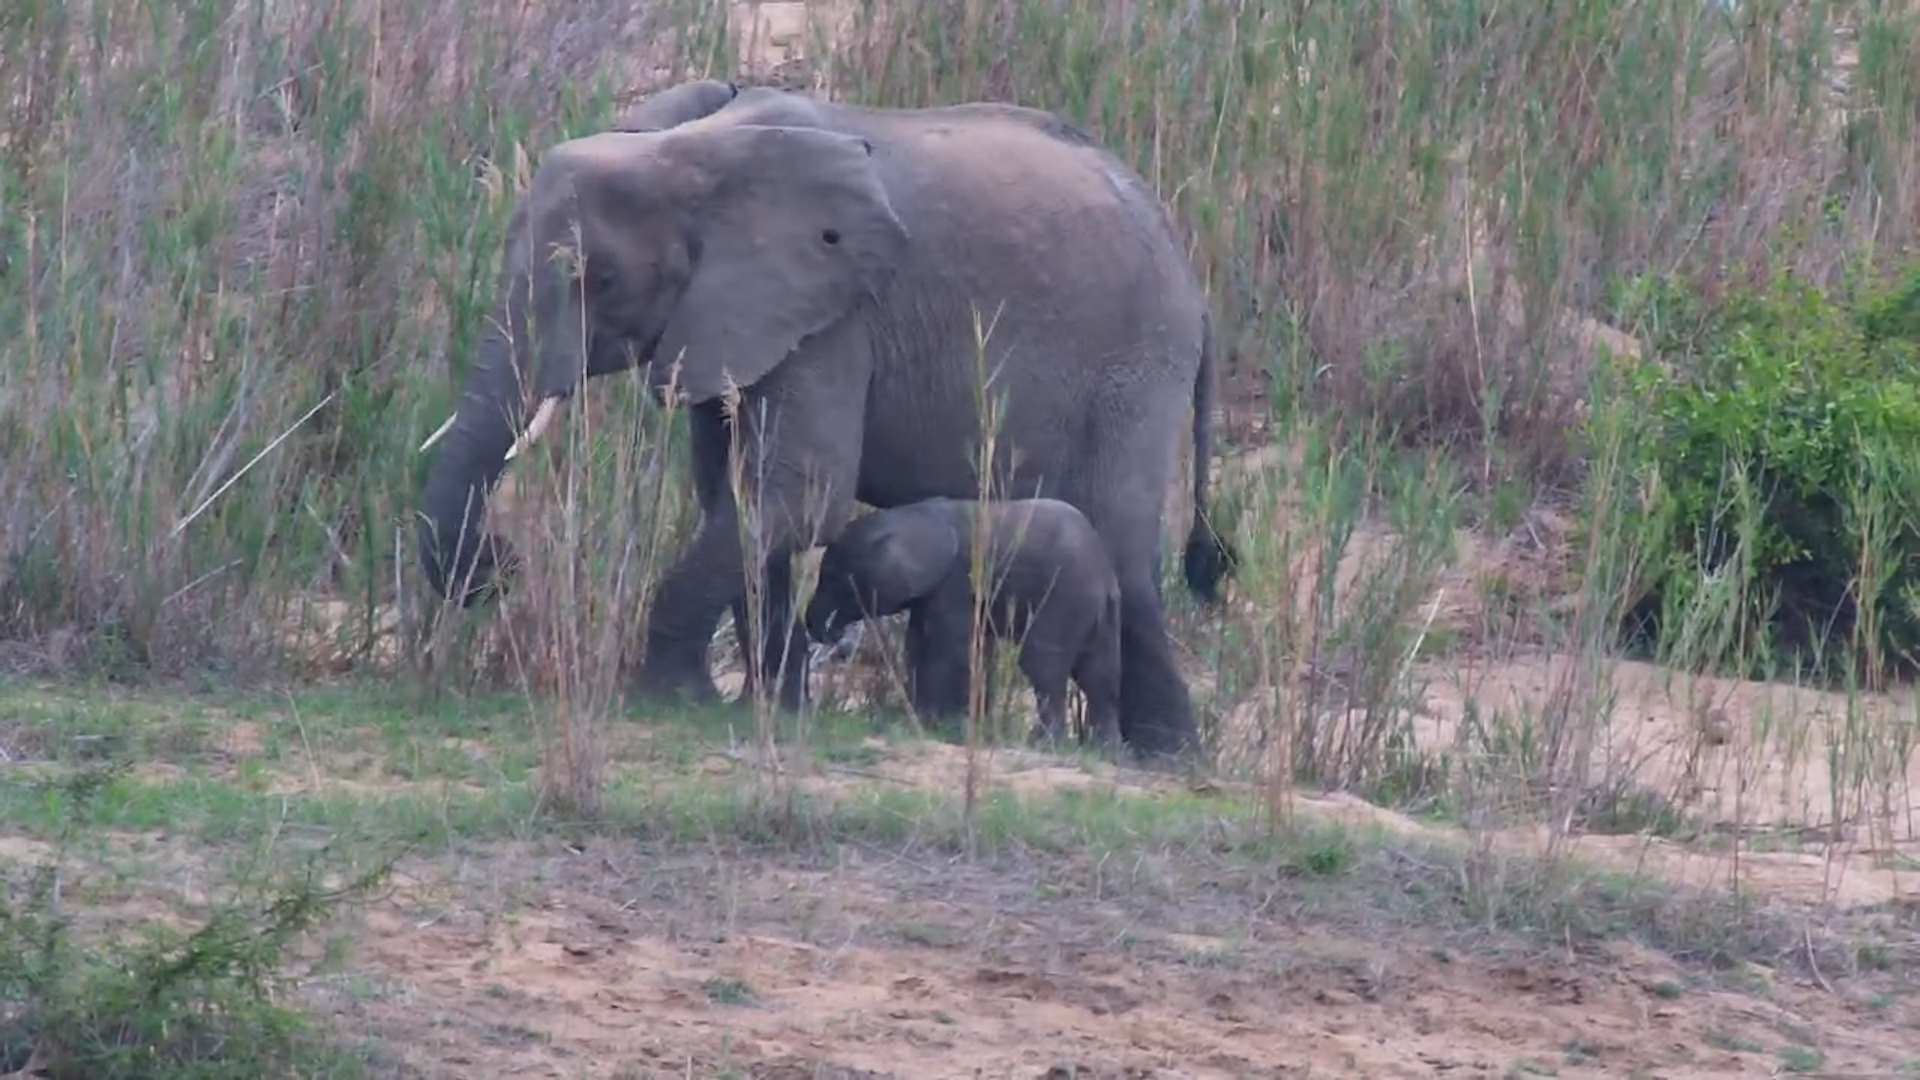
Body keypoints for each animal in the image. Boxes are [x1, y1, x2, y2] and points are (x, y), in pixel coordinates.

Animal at [804, 496, 1124, 750]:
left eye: (834, 576)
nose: (833, 636)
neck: (911, 516)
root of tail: (1106, 574)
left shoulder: (957, 580)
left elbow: (950, 646)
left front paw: (940, 725)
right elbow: (917, 645)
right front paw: (921, 721)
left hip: (1065, 596)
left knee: (1043, 664)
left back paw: (1045, 743)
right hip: (1098, 611)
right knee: (1098, 673)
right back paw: (1106, 751)